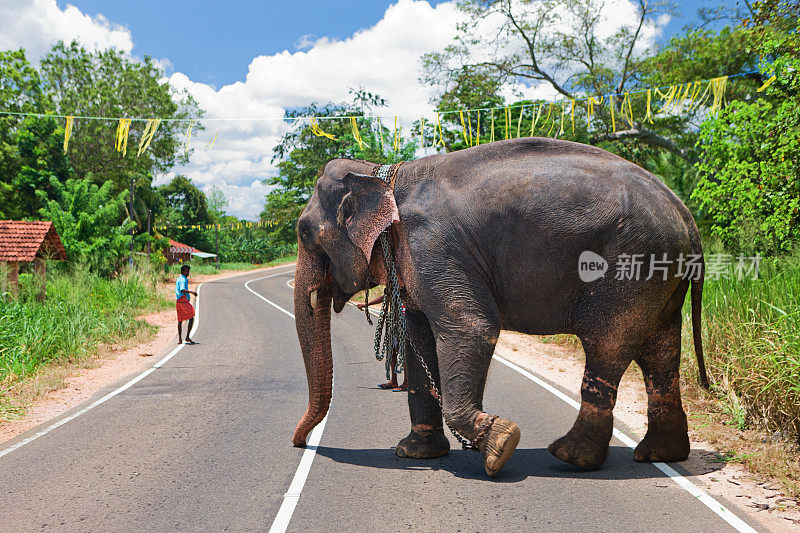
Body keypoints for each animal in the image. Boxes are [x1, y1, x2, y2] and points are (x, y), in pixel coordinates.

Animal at [290, 135, 708, 476]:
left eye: (304, 232)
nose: (299, 443)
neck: (384, 175)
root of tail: (685, 214)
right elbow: (418, 336)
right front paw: (414, 454)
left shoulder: (434, 246)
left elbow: (471, 328)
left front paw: (501, 443)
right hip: (661, 272)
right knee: (660, 349)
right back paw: (658, 455)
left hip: (629, 267)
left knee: (607, 343)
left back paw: (571, 458)